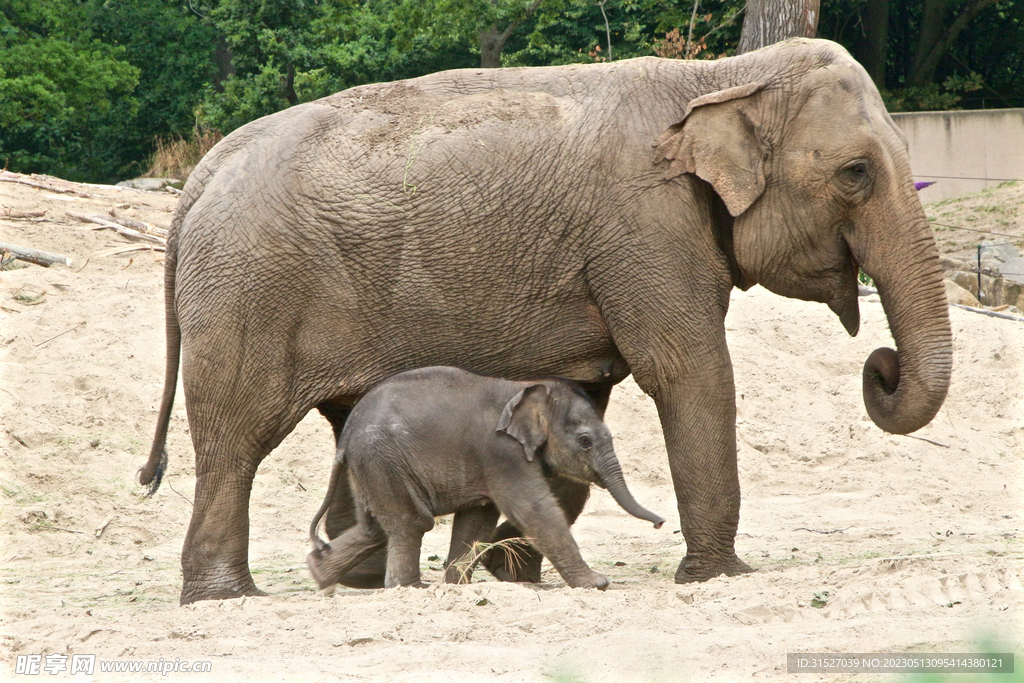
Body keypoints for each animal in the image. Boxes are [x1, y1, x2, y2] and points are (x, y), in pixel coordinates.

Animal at [305, 366, 663, 589]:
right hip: (382, 459)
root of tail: (345, 438)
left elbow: (477, 520)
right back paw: (410, 588)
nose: (660, 523)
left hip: (371, 465)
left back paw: (319, 574)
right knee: (412, 522)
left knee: (375, 528)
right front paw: (597, 584)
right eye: (585, 441)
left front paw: (456, 586)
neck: (526, 388)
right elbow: (534, 510)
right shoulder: (501, 453)